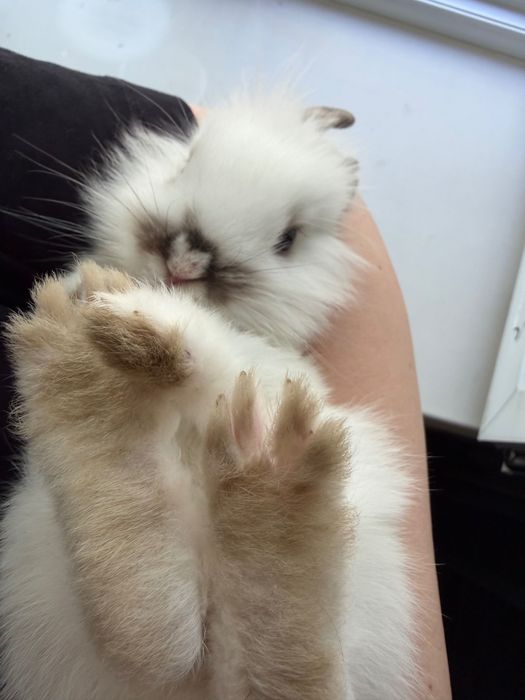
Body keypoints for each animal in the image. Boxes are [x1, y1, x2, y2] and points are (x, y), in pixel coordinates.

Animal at [0, 93, 416, 699]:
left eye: (288, 238)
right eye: (186, 162)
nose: (183, 264)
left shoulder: (277, 370)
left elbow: (224, 357)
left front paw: (143, 321)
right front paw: (95, 298)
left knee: (275, 670)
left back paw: (270, 481)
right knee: (149, 633)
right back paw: (85, 380)